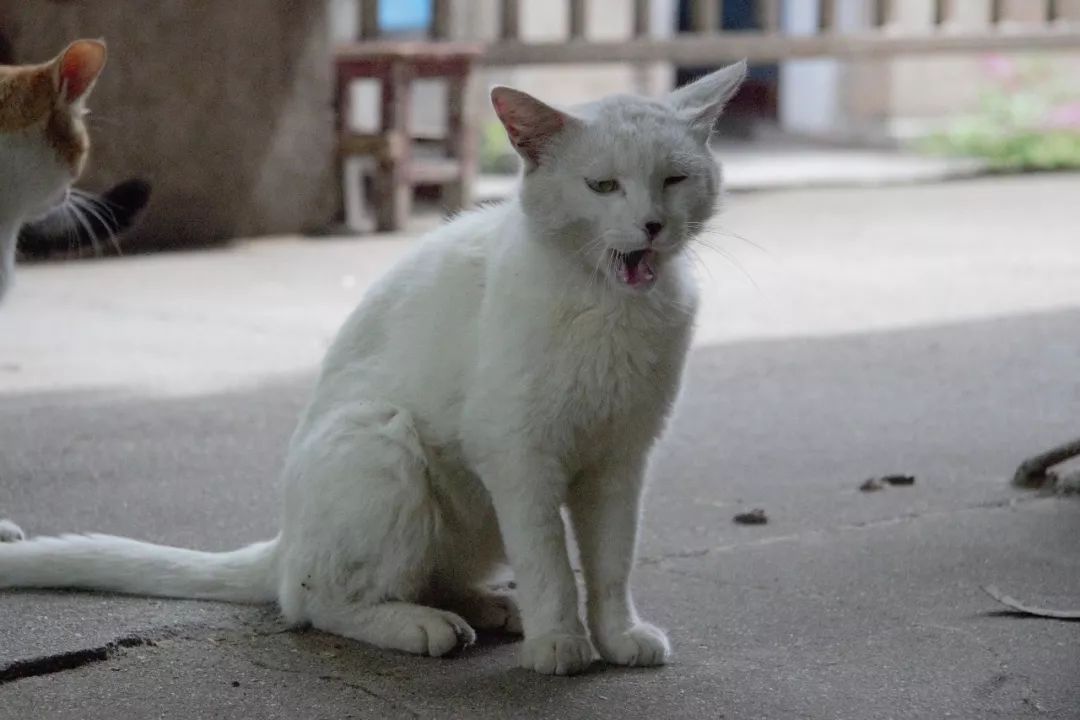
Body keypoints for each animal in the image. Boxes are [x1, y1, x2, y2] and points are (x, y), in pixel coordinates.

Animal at [0, 60, 747, 677]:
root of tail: (285, 538)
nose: (651, 225)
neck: (609, 311)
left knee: (412, 575)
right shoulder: (518, 454)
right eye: (603, 186)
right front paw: (560, 642)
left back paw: (484, 606)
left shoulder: (621, 460)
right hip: (382, 440)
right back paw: (424, 625)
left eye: (674, 179)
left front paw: (617, 636)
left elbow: (612, 562)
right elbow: (550, 564)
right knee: (314, 599)